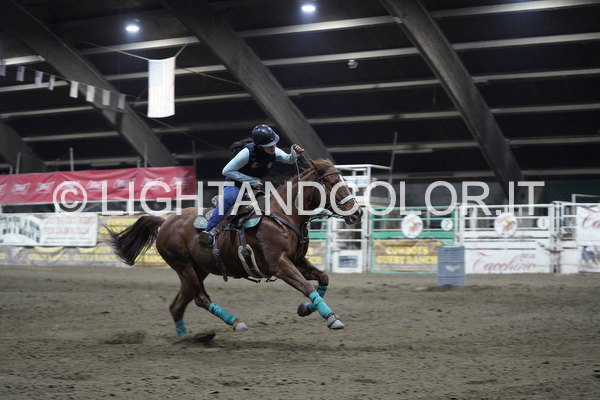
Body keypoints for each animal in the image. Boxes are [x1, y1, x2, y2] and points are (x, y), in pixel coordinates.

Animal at [108, 159, 363, 337]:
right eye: (332, 183)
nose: (358, 212)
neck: (282, 215)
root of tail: (165, 221)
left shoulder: (298, 261)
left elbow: (323, 278)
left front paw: (305, 308)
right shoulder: (279, 264)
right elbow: (306, 286)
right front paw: (332, 318)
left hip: (197, 270)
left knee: (177, 306)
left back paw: (186, 338)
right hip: (183, 266)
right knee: (201, 299)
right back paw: (236, 323)